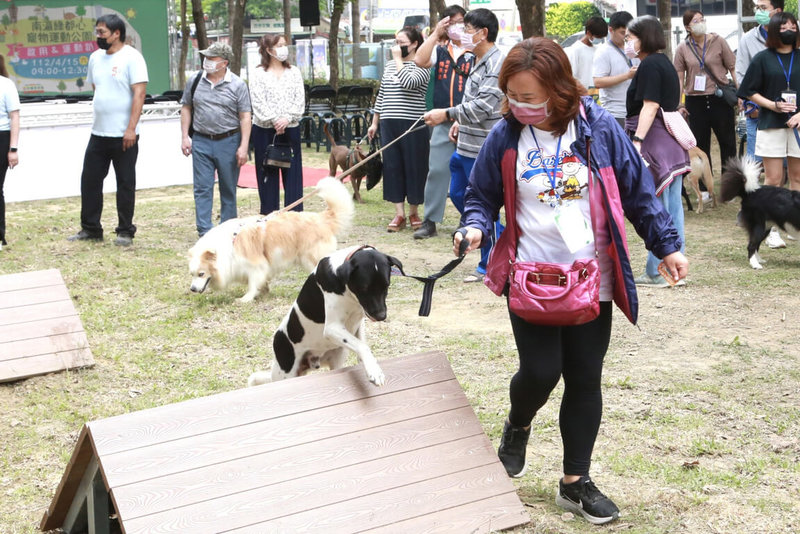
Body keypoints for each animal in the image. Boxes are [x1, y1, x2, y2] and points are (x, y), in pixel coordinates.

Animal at [188, 179, 354, 302]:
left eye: (201, 274)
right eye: (192, 274)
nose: (192, 290)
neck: (229, 245)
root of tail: (321, 218)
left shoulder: (256, 265)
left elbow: (252, 283)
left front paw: (246, 298)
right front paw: (264, 292)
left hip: (311, 259)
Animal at [247, 247, 404, 390]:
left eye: (387, 285)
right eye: (364, 288)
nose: (381, 316)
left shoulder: (359, 323)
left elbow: (362, 343)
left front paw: (368, 364)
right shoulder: (331, 328)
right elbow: (362, 346)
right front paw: (374, 370)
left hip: (337, 357)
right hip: (286, 373)